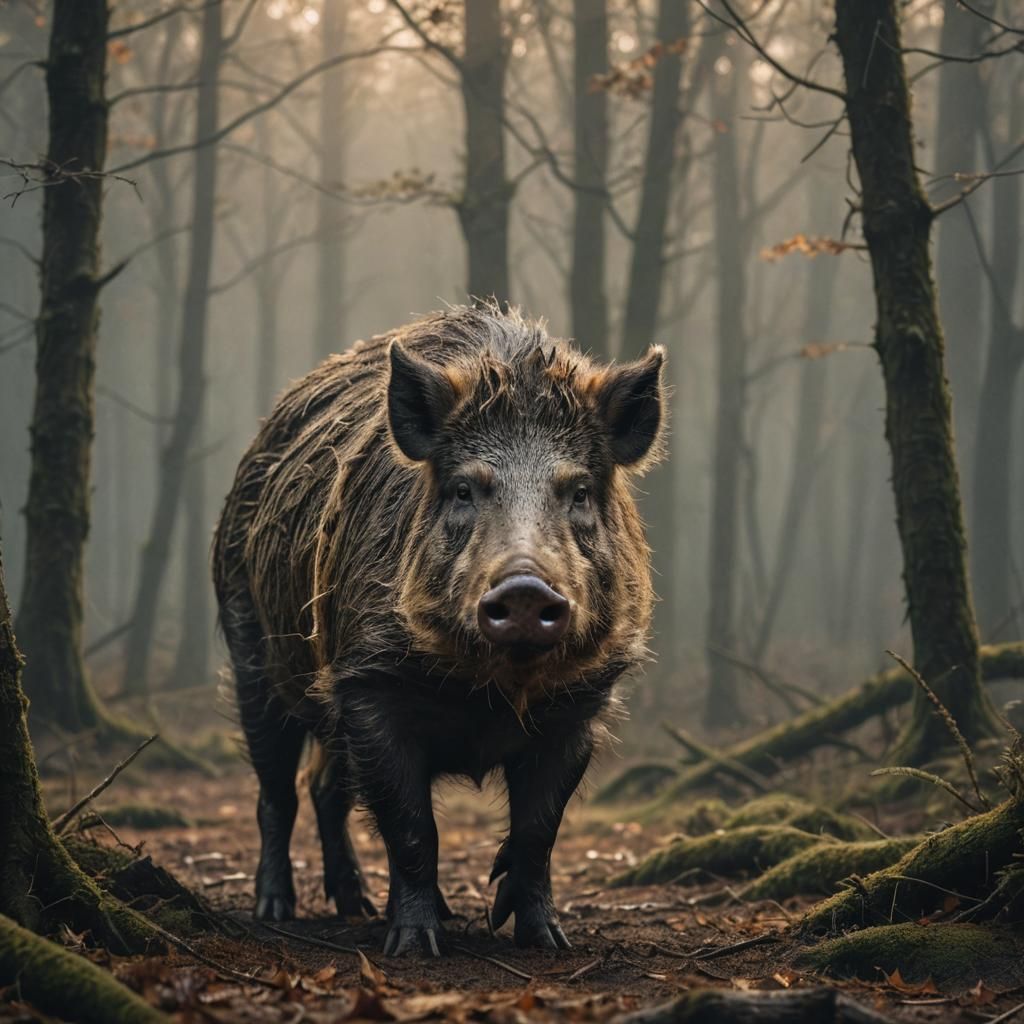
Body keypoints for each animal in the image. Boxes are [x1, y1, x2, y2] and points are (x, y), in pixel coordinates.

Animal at [213, 304, 664, 956]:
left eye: (579, 491)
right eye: (462, 489)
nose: (525, 588)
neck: (488, 691)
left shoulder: (583, 702)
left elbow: (539, 828)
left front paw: (548, 941)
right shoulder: (368, 683)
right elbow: (412, 827)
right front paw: (414, 946)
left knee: (325, 789)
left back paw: (356, 905)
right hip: (250, 650)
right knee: (278, 790)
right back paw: (276, 909)